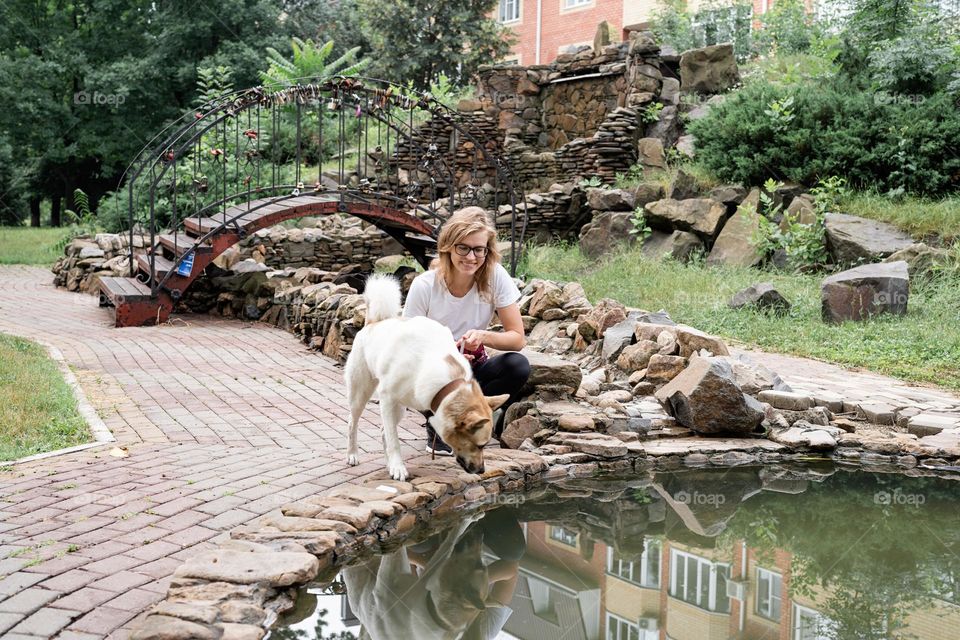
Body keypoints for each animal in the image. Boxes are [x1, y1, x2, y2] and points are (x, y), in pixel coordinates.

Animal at [344, 276, 510, 480]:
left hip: (399, 408)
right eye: (481, 445)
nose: (481, 471)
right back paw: (353, 454)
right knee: (353, 422)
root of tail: (372, 323)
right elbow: (394, 440)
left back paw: (388, 463)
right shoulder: (387, 398)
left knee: (384, 430)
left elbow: (390, 435)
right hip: (361, 394)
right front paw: (398, 468)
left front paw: (394, 465)